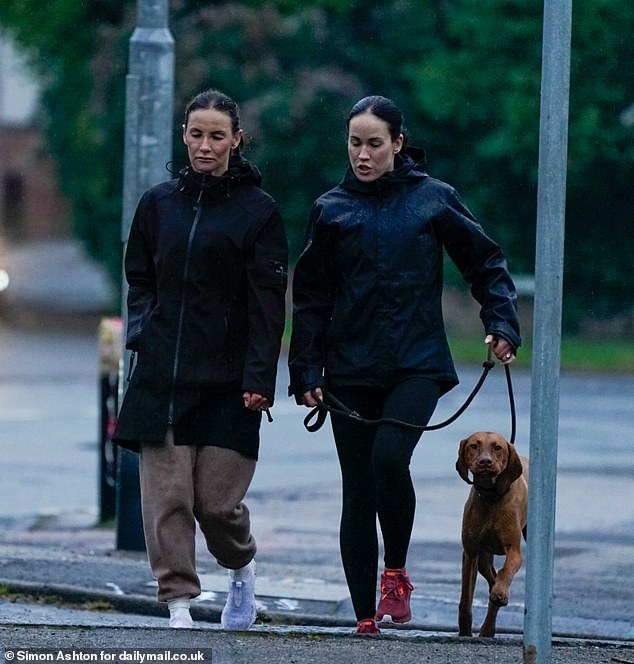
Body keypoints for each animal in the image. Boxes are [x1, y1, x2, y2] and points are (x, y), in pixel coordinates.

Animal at [454, 434, 528, 636]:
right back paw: (488, 627)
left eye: (498, 447)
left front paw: (500, 593)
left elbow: (505, 571)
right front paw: (465, 631)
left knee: (496, 579)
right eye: (473, 446)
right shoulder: (470, 553)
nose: (485, 462)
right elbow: (465, 598)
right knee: (490, 577)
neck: (491, 497)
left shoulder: (514, 552)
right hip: (483, 558)